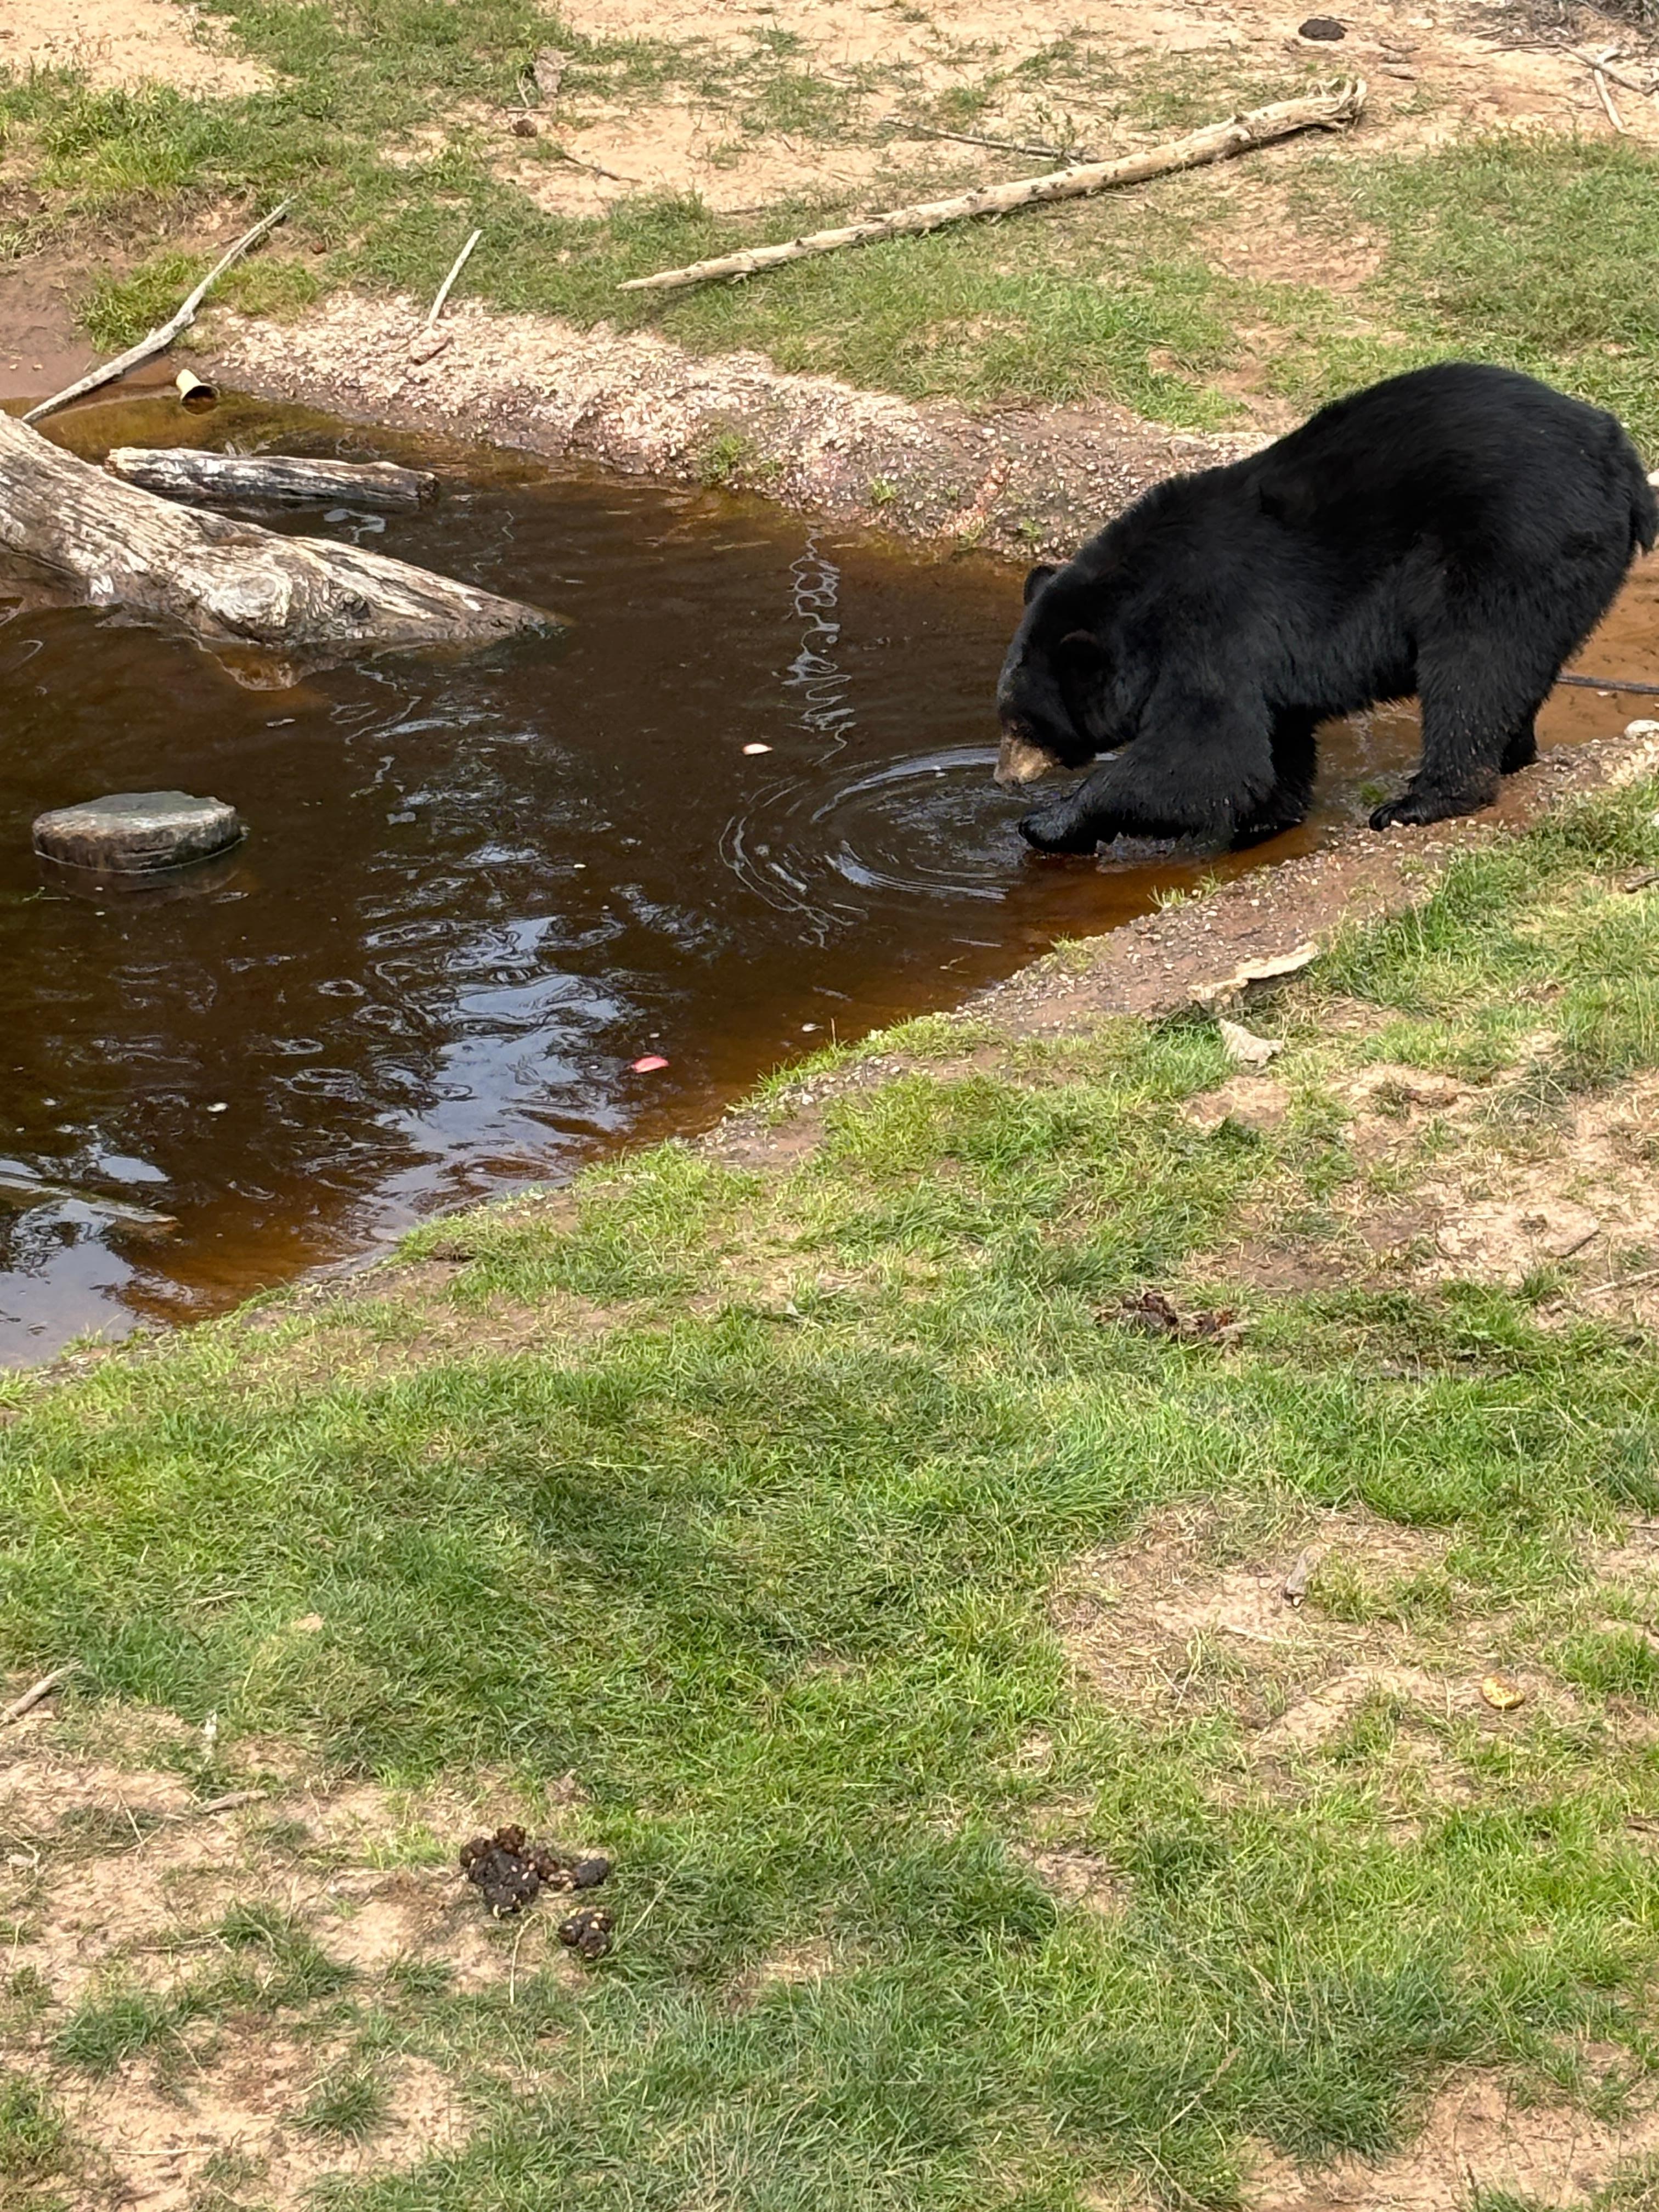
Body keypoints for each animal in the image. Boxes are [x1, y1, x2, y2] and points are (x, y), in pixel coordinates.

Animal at [995, 363, 1657, 852]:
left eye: (1022, 723)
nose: (1002, 775)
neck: (1139, 598)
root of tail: (1623, 463)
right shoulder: (1253, 658)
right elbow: (1270, 747)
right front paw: (1263, 819)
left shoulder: (1209, 630)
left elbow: (1207, 755)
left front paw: (1049, 821)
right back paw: (1511, 756)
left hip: (1510, 546)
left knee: (1474, 664)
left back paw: (1419, 801)